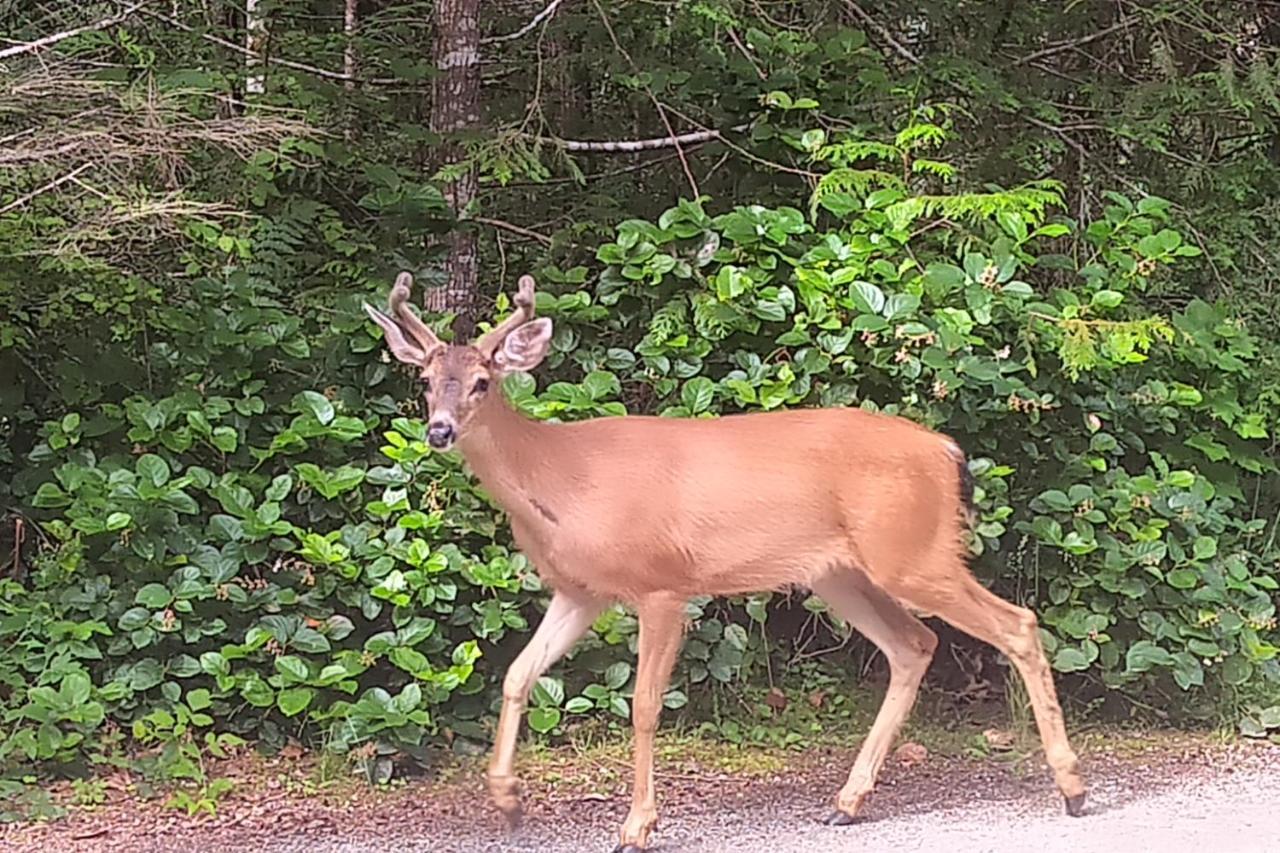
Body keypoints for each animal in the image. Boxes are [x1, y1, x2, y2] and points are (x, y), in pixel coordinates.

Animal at [363, 270, 1090, 845]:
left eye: (483, 382)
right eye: (425, 379)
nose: (439, 430)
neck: (563, 482)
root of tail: (947, 451)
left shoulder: (662, 584)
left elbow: (644, 704)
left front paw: (637, 825)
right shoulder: (580, 591)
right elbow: (517, 676)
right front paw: (508, 801)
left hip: (912, 551)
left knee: (1017, 623)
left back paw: (1073, 788)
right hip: (842, 572)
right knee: (914, 644)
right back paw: (847, 802)